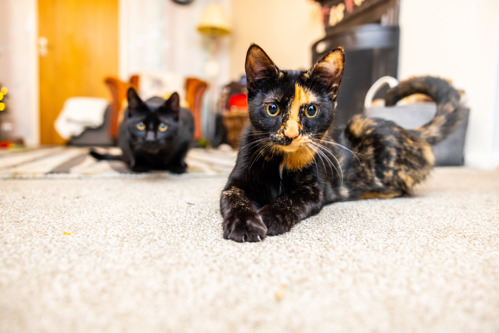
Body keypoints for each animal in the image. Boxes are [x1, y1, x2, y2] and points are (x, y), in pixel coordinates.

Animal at [221, 43, 466, 241]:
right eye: (272, 108)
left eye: (311, 110)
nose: (291, 134)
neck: (282, 160)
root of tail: (410, 131)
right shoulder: (235, 183)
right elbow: (234, 199)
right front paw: (245, 224)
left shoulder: (314, 190)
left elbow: (290, 199)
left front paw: (270, 216)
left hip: (366, 129)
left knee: (403, 188)